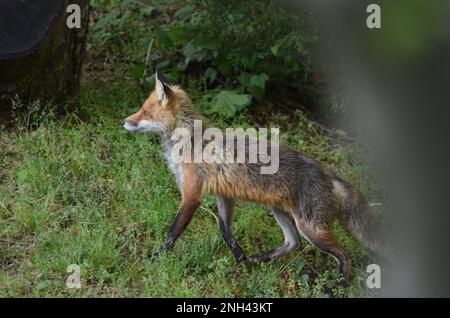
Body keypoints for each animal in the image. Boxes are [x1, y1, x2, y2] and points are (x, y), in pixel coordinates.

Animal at [124, 69, 386, 284]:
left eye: (145, 112)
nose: (123, 121)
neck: (191, 141)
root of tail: (329, 174)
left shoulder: (192, 195)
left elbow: (172, 233)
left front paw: (156, 259)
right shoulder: (223, 193)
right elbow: (225, 230)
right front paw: (239, 255)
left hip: (312, 229)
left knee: (344, 255)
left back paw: (338, 284)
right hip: (280, 211)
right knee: (293, 243)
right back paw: (257, 259)